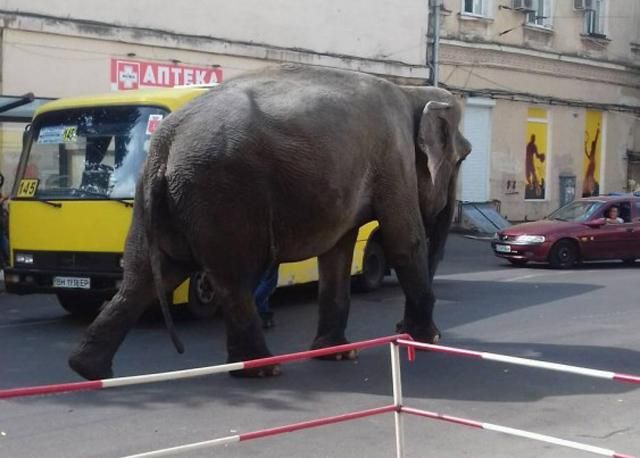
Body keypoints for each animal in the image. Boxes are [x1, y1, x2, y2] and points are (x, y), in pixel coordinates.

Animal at [69, 64, 470, 380]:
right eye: (464, 156)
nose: (399, 328)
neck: (411, 93)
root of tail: (166, 142)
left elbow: (337, 254)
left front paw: (338, 353)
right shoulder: (394, 158)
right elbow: (404, 240)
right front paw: (429, 340)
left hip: (160, 202)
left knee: (146, 276)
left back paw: (88, 370)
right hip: (221, 193)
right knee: (229, 277)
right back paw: (262, 368)